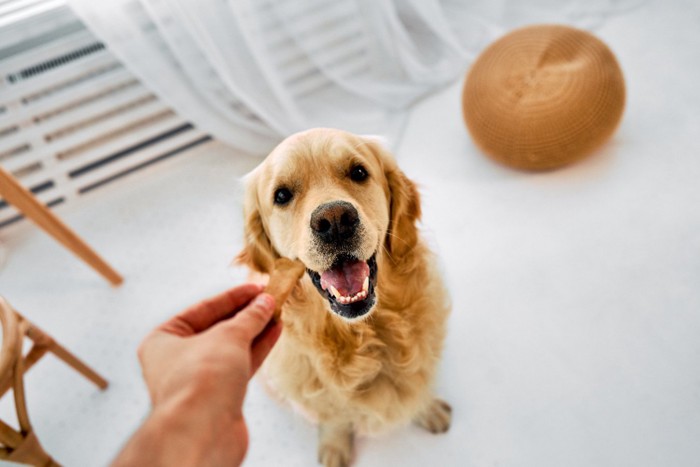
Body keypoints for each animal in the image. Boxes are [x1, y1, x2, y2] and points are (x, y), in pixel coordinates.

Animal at [238, 129, 452, 467]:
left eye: (358, 172)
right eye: (282, 195)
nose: (335, 220)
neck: (362, 336)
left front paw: (427, 409)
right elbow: (334, 416)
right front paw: (335, 445)